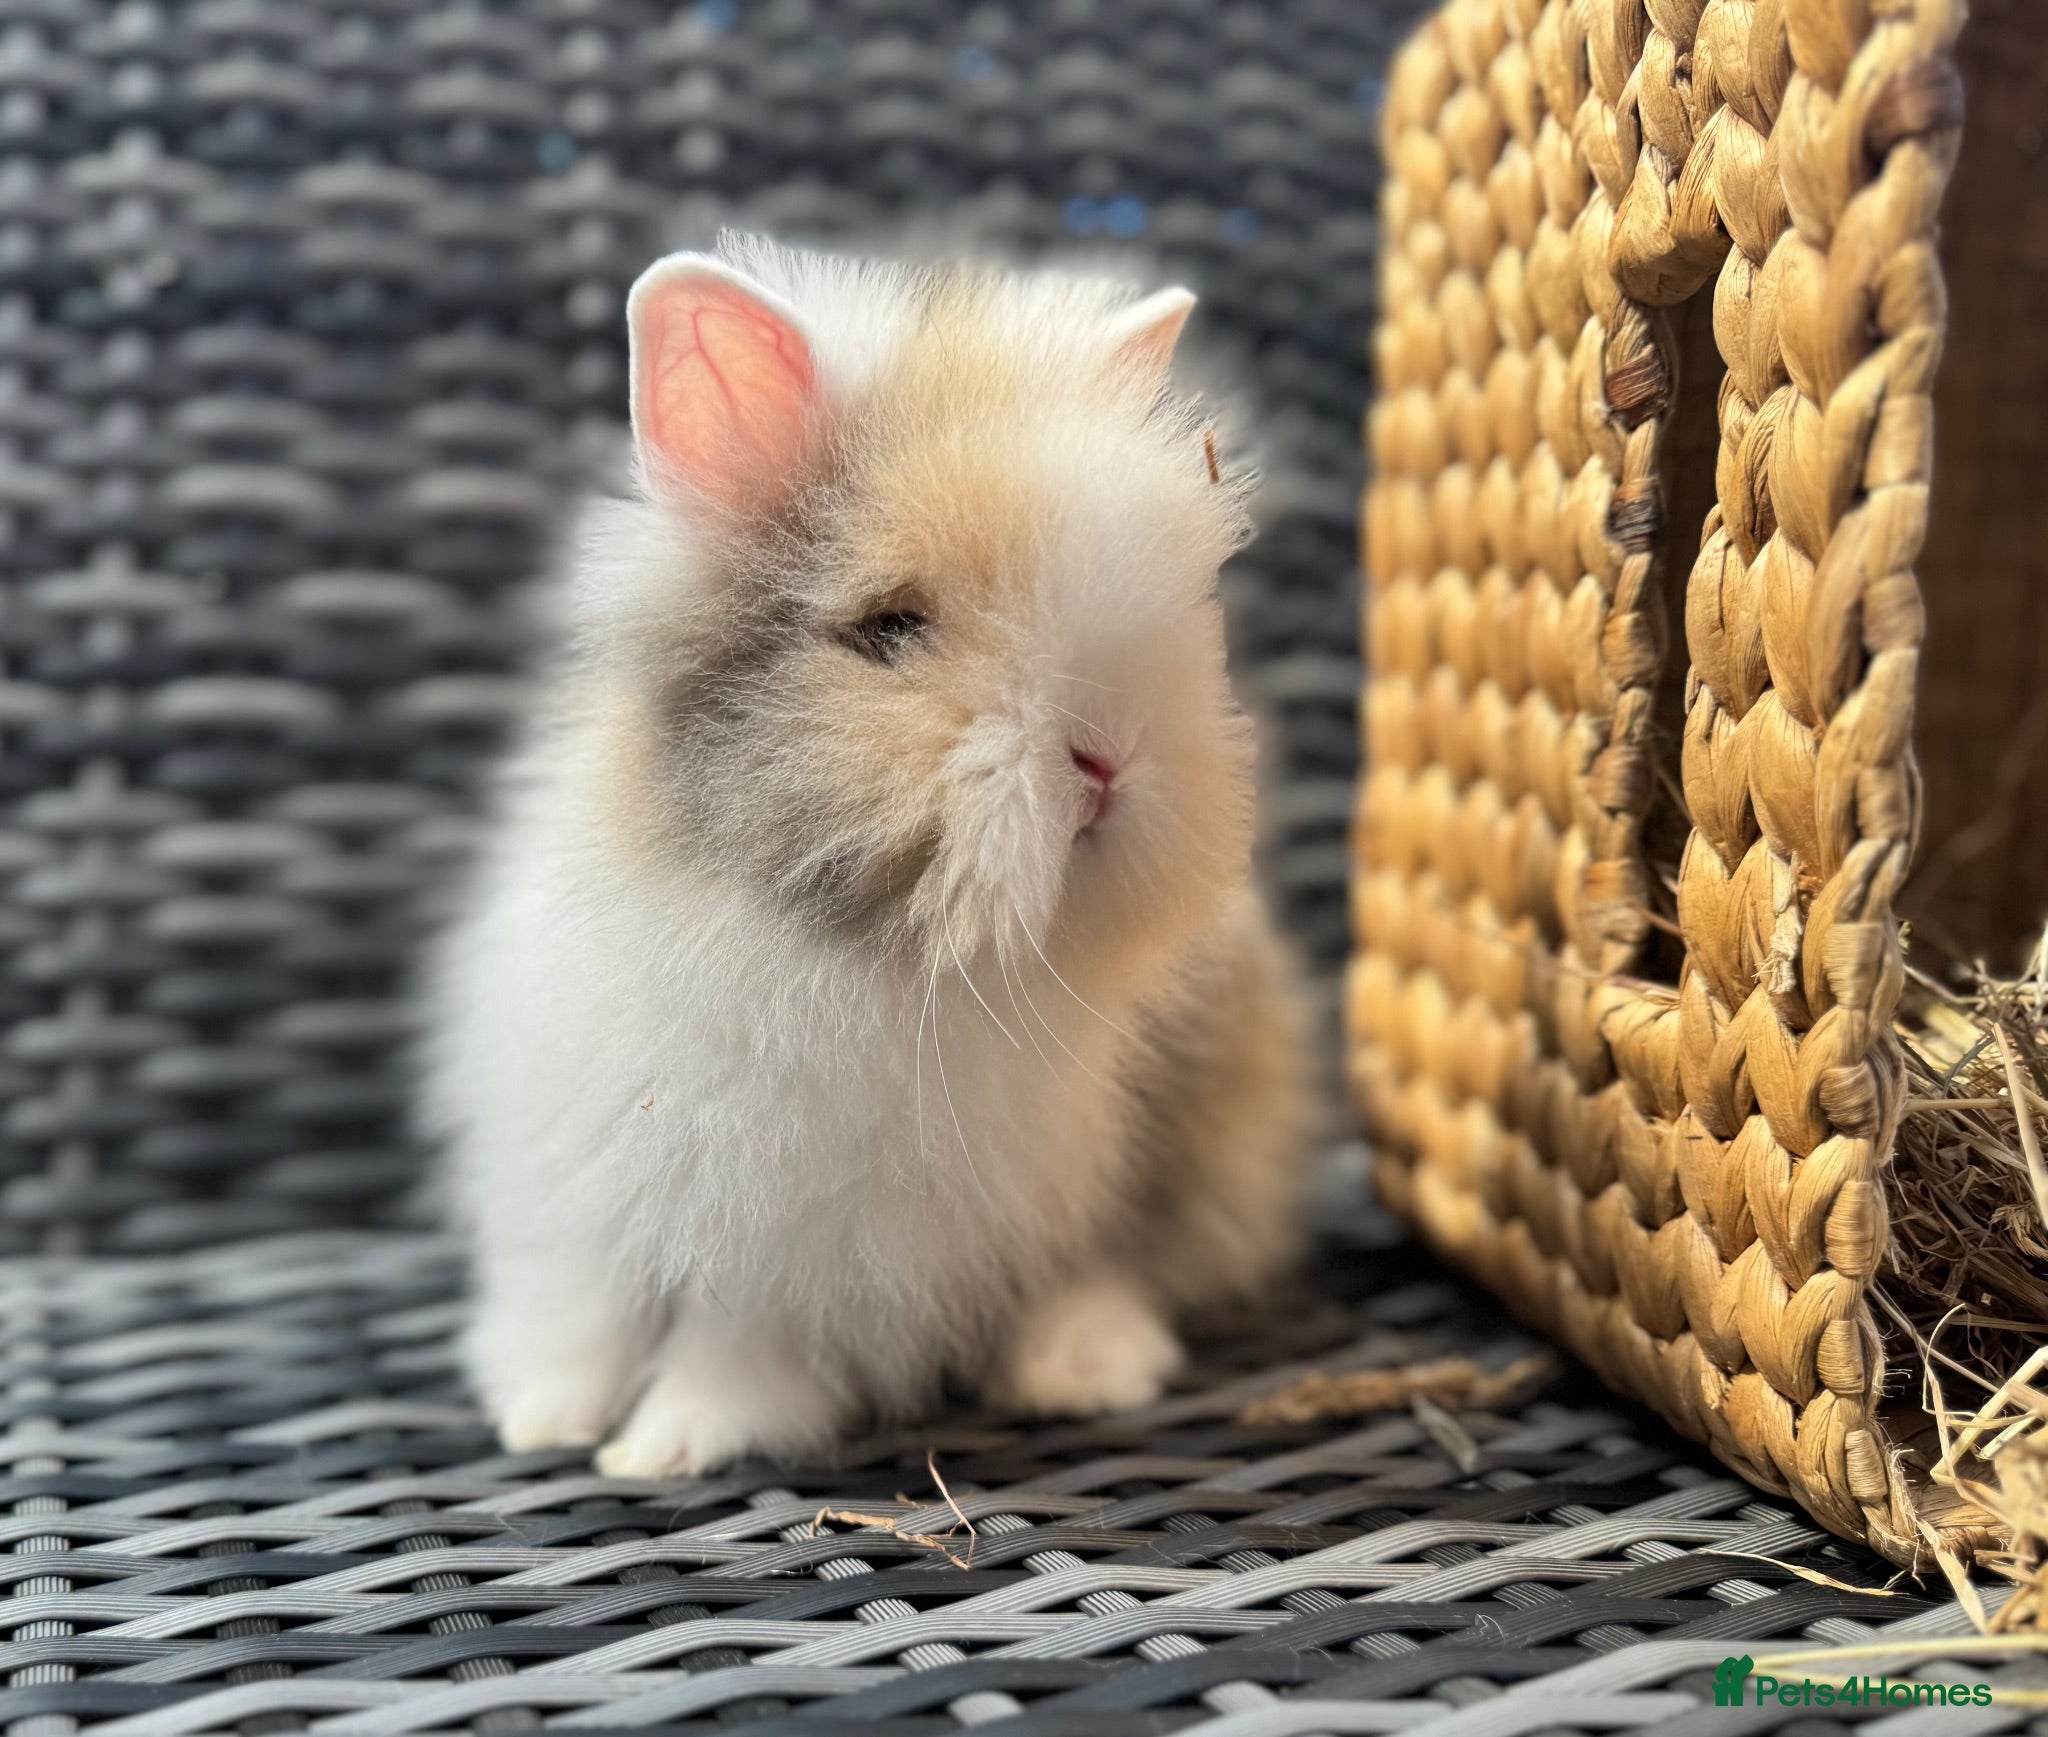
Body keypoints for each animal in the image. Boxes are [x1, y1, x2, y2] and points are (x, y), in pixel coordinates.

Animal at [421, 234, 1314, 1476]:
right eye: (889, 629)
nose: (1106, 758)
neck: (841, 941)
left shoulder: (799, 1260)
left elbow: (731, 1356)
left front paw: (666, 1445)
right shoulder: (581, 1189)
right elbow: (581, 1312)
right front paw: (543, 1417)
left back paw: (1080, 1371)